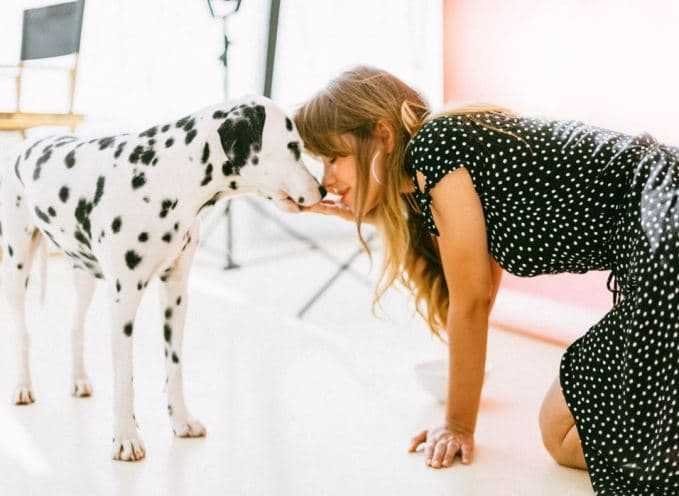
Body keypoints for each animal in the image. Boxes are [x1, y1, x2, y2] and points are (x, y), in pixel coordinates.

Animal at [0, 94, 326, 462]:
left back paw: (79, 380)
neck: (166, 176)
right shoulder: (124, 298)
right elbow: (124, 377)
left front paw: (181, 420)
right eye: (293, 147)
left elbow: (174, 364)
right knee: (22, 331)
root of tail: (28, 142)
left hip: (84, 274)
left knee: (75, 326)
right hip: (17, 268)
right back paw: (22, 386)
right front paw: (126, 438)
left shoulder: (175, 292)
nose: (323, 189)